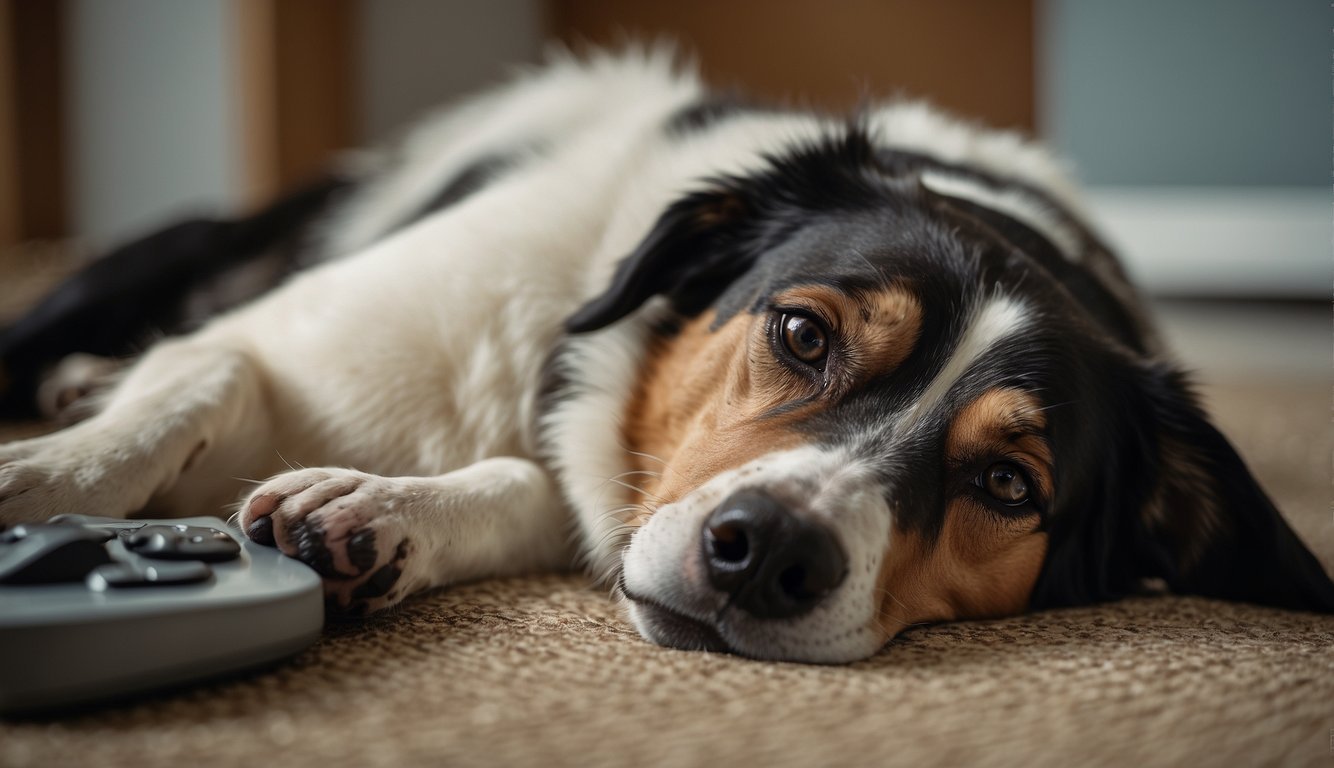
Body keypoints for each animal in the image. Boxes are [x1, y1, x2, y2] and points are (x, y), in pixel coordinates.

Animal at [2, 52, 1334, 666]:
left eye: (1007, 486)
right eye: (800, 335)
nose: (769, 552)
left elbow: (531, 486)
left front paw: (376, 515)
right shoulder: (285, 336)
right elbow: (205, 373)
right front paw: (46, 481)